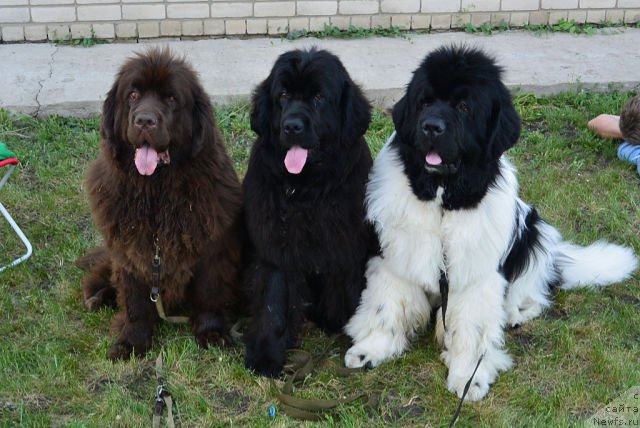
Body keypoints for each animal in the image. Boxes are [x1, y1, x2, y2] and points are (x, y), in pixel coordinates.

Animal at [242, 48, 378, 378]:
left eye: (319, 97)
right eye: (283, 95)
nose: (292, 125)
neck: (307, 192)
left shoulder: (347, 245)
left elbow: (352, 292)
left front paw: (357, 337)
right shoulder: (276, 247)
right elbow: (273, 303)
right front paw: (265, 354)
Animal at [344, 46, 636, 402]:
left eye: (464, 107)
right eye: (424, 102)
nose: (430, 127)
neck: (443, 201)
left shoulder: (478, 275)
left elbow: (472, 329)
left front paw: (469, 377)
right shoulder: (396, 257)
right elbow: (387, 307)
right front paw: (372, 349)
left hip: (533, 232)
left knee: (534, 290)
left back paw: (515, 313)